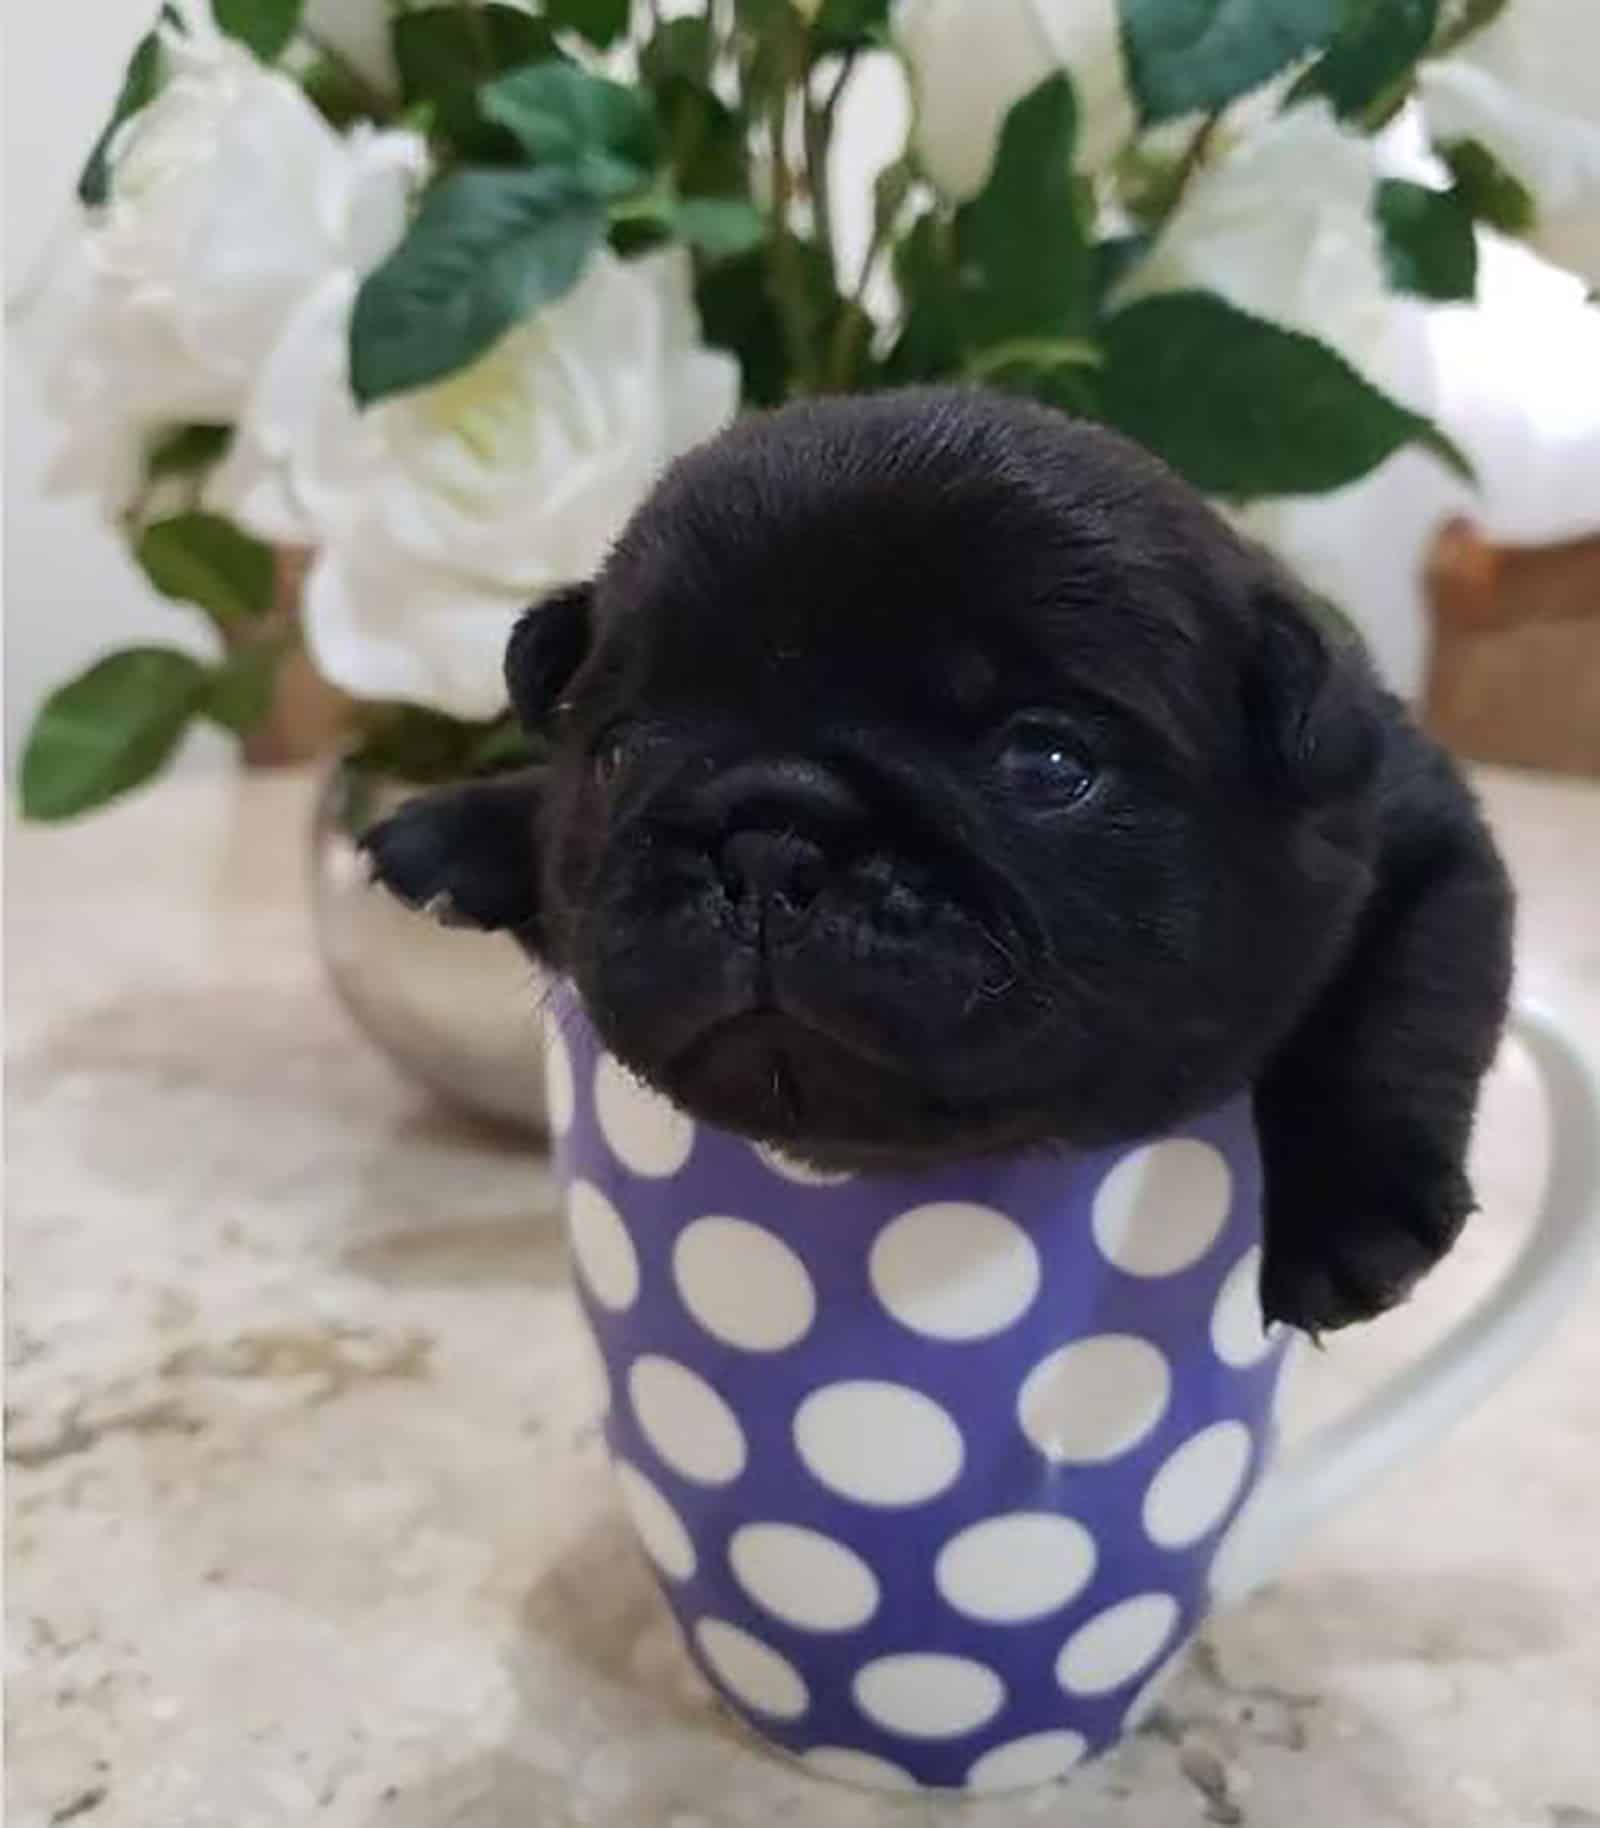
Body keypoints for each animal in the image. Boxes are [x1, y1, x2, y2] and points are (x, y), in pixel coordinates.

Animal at [369, 389, 1521, 1330]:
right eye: (614, 755)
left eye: (1048, 762)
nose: (768, 843)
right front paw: (462, 829)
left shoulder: (1428, 835)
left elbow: (1400, 1000)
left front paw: (1349, 1211)